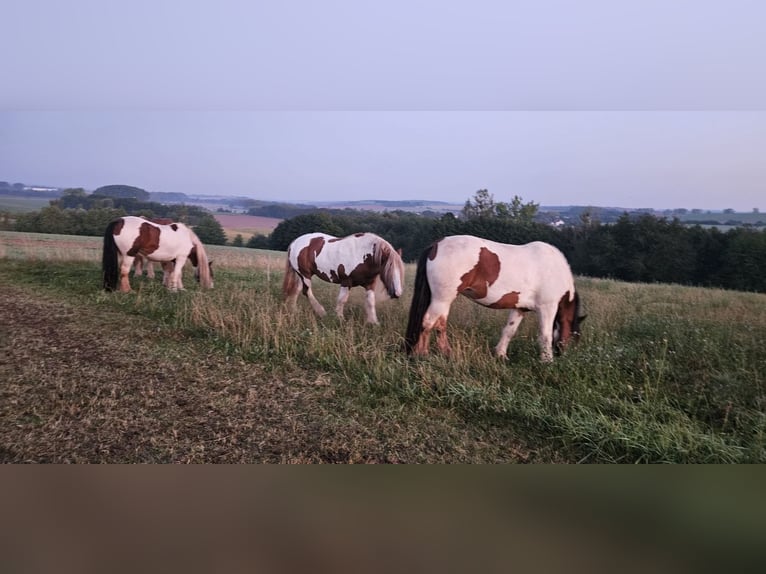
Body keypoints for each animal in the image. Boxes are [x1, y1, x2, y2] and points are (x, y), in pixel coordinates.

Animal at [402, 235, 588, 362]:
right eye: (575, 336)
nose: (565, 357)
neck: (555, 269)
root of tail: (437, 245)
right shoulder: (547, 307)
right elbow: (545, 335)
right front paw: (547, 361)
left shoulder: (519, 308)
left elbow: (509, 330)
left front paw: (501, 355)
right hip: (442, 299)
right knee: (428, 322)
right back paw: (422, 354)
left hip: (443, 300)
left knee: (439, 324)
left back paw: (445, 353)